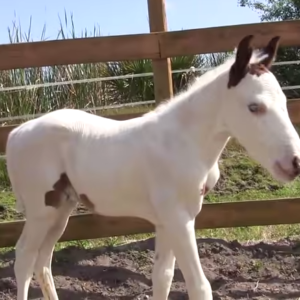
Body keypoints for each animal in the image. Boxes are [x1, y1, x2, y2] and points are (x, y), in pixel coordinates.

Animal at [5, 35, 300, 300]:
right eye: (254, 107)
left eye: (285, 103)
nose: (295, 162)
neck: (183, 141)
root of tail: (16, 133)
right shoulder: (180, 218)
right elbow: (198, 286)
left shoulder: (166, 220)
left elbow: (163, 277)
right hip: (41, 211)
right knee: (24, 257)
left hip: (61, 209)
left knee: (43, 261)